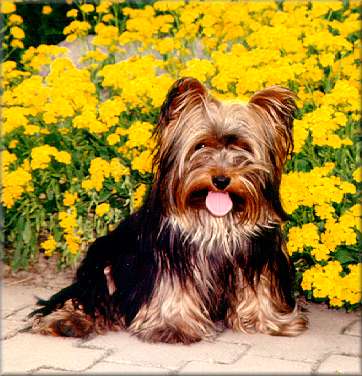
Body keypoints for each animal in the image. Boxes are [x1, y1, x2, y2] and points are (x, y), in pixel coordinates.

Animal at [30, 77, 308, 344]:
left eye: (244, 148)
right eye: (201, 146)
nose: (220, 179)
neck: (215, 219)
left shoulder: (258, 253)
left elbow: (260, 288)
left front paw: (272, 321)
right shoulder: (171, 256)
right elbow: (173, 289)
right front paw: (173, 326)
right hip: (103, 264)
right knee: (84, 298)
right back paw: (67, 322)